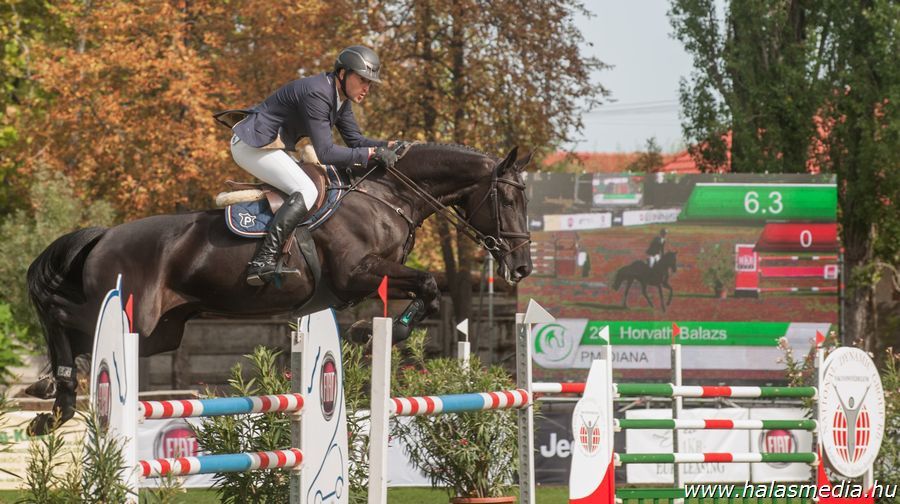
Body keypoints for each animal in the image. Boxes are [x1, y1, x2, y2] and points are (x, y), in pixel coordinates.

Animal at [25, 143, 534, 435]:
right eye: (508, 198)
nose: (522, 266)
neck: (389, 197)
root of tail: (105, 235)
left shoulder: (370, 279)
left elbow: (426, 290)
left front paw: (376, 332)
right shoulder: (357, 272)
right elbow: (427, 283)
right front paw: (369, 335)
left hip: (160, 331)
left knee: (80, 331)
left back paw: (54, 398)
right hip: (133, 315)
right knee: (58, 311)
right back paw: (56, 394)